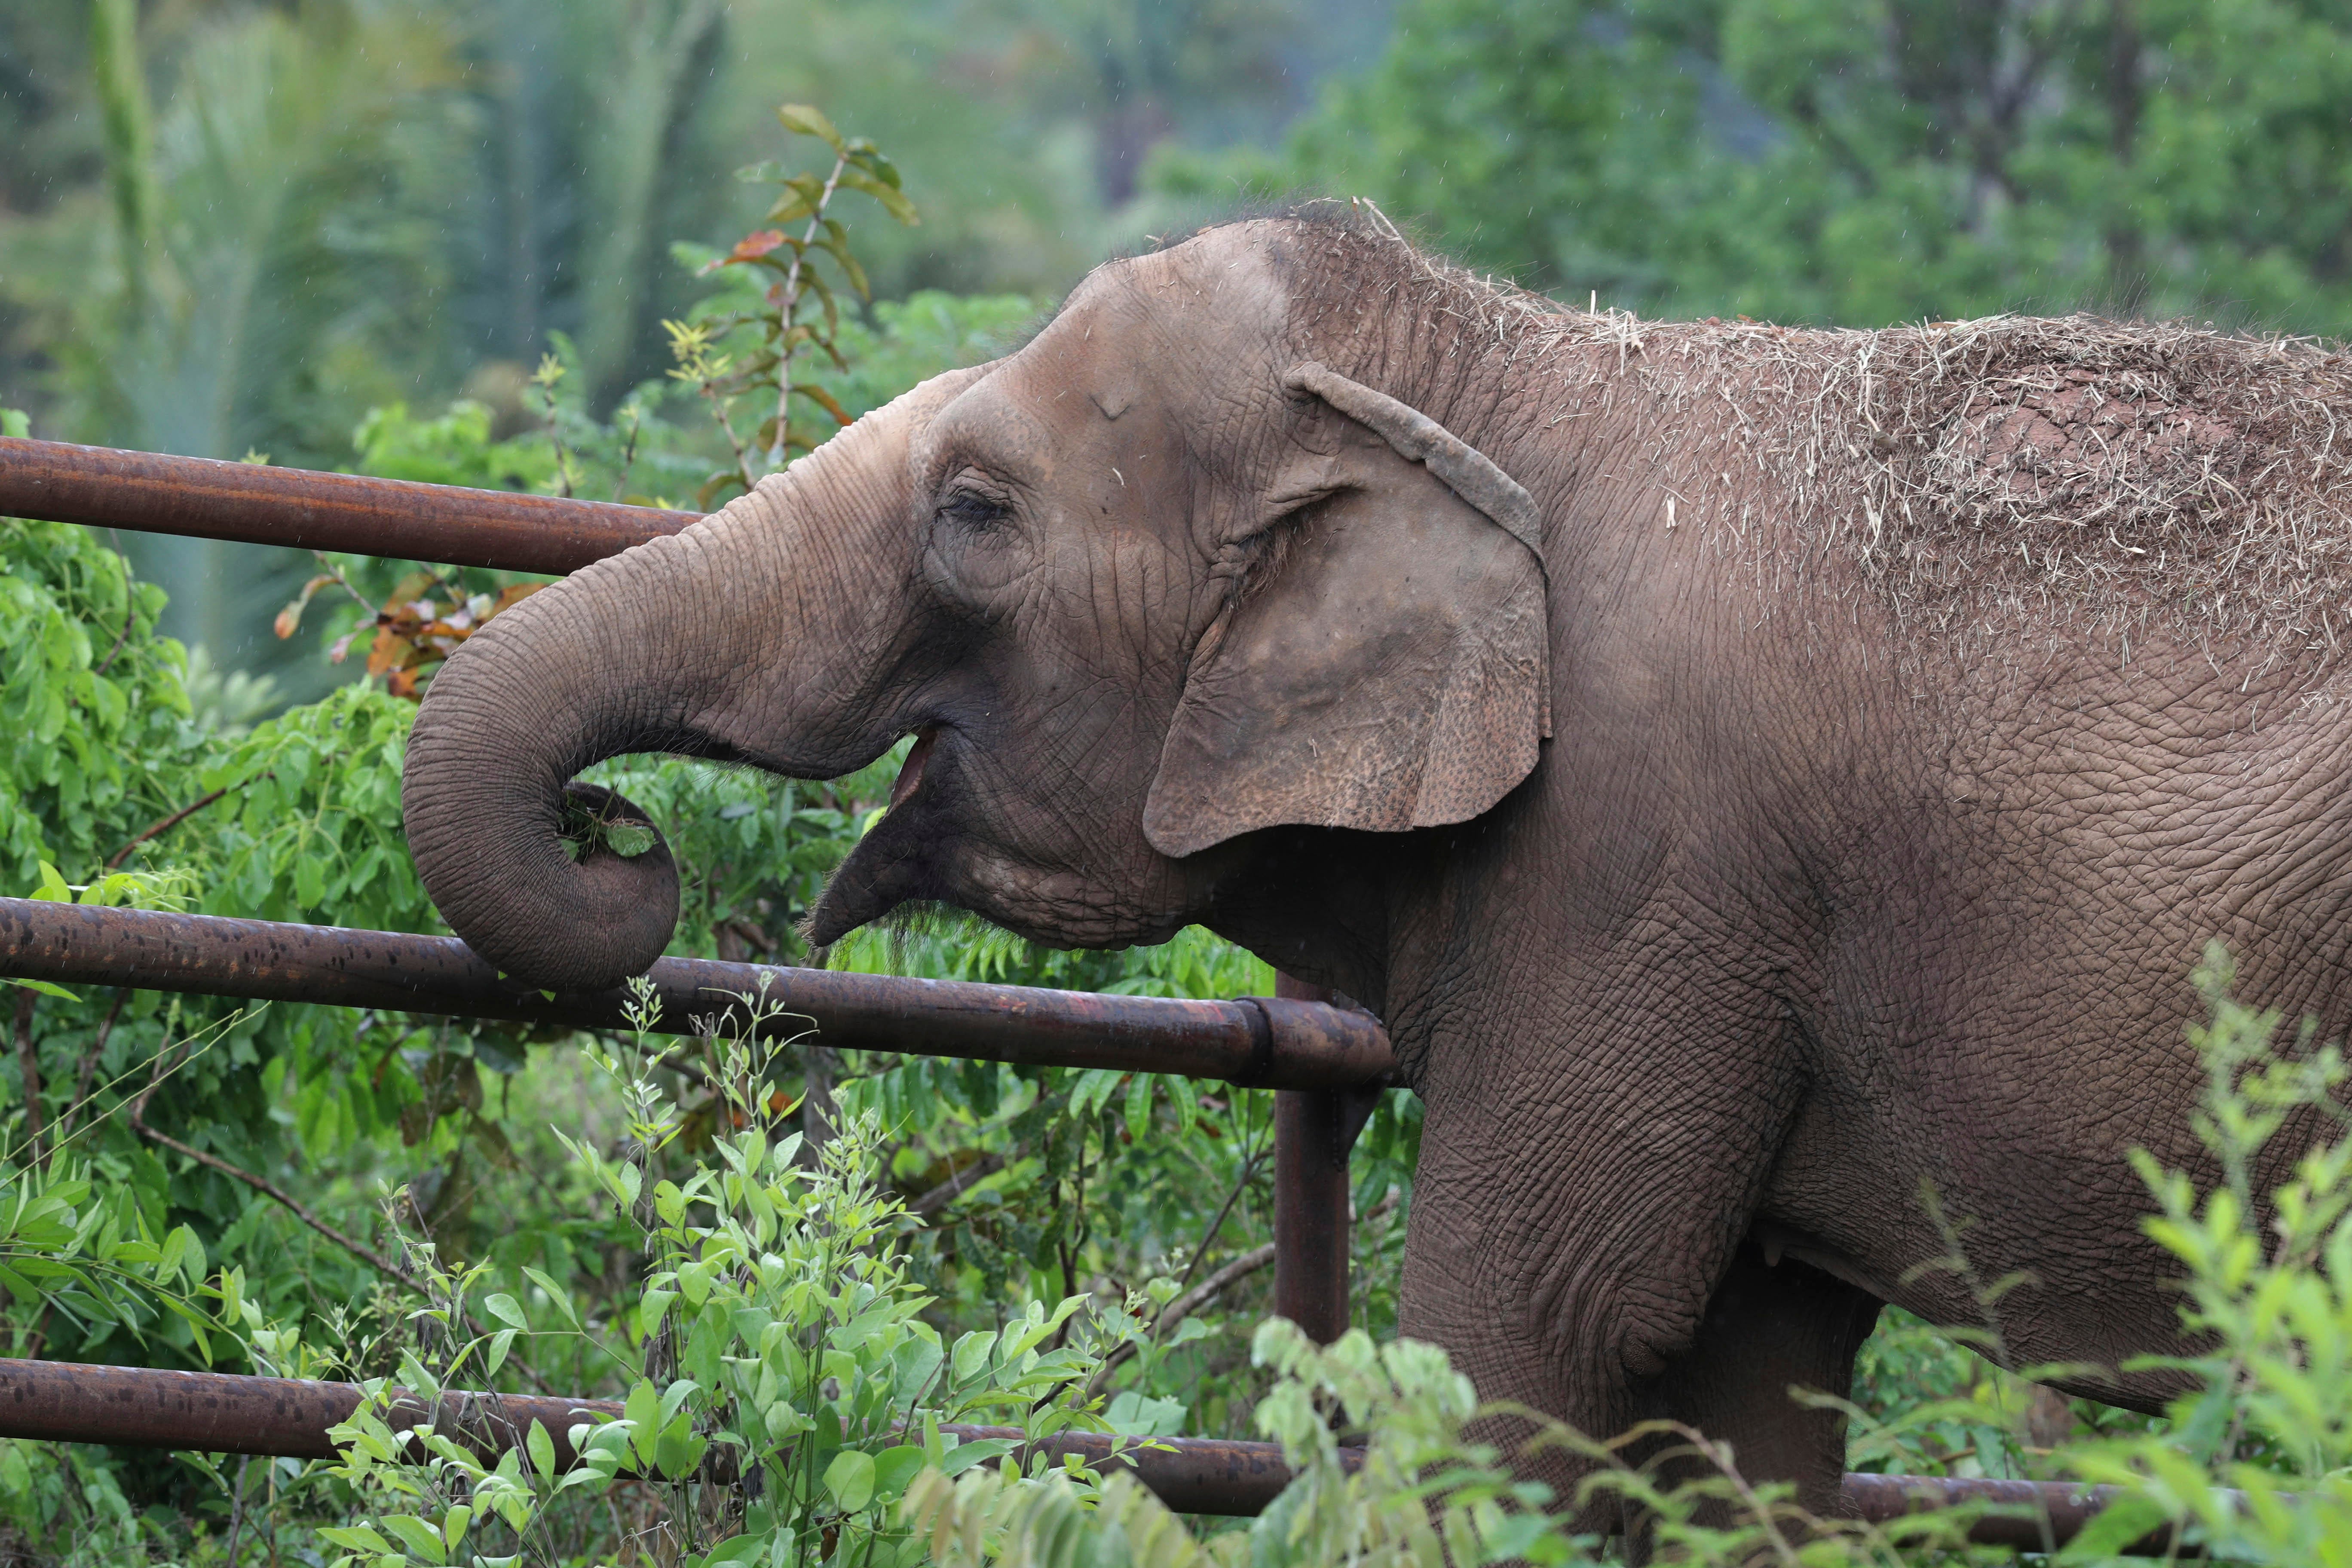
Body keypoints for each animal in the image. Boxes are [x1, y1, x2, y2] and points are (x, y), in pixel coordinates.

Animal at [401, 209, 2352, 1527]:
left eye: (972, 514)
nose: (620, 834)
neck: (1494, 367)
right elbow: (1744, 1399)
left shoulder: (1637, 871)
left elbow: (1530, 1338)